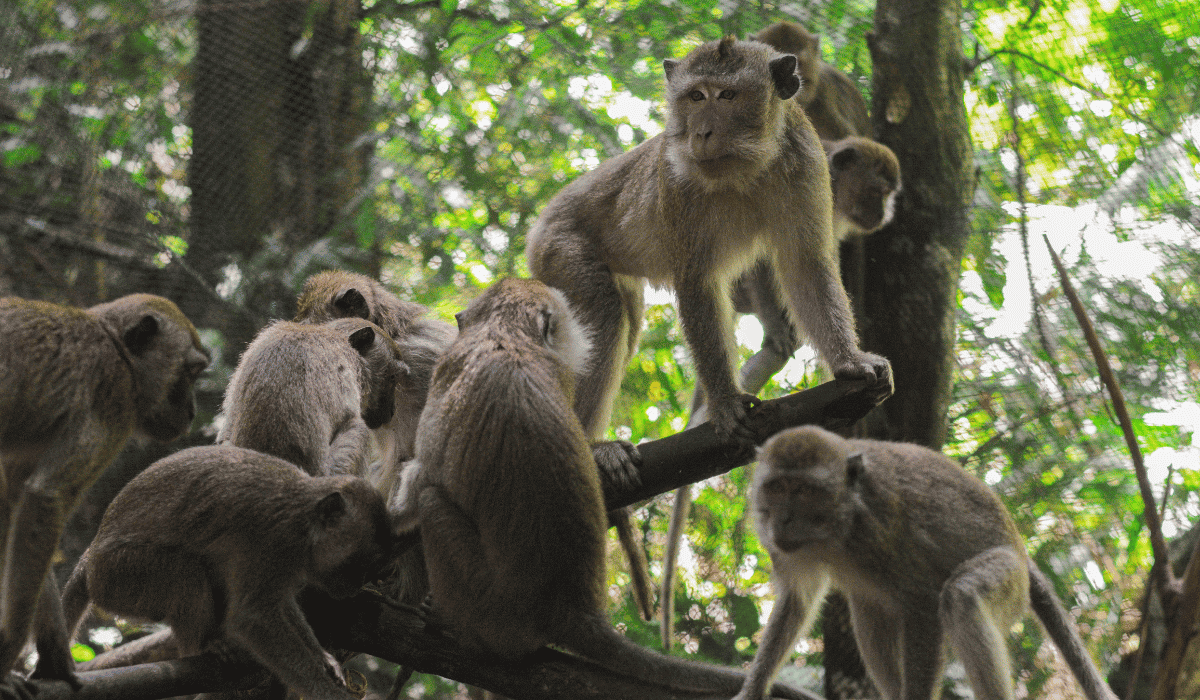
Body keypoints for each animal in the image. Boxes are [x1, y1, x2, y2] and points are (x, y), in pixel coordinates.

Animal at [0, 293, 209, 683]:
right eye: (190, 373)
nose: (191, 411)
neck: (115, 347)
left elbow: (21, 501)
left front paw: (54, 657)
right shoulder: (115, 399)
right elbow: (47, 496)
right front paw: (10, 652)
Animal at [60, 445, 396, 700]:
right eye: (357, 563)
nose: (354, 587)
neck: (305, 520)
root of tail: (90, 558)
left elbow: (280, 605)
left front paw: (322, 659)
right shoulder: (274, 540)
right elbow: (254, 617)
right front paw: (326, 692)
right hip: (119, 576)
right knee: (187, 572)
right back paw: (202, 646)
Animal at [389, 277, 816, 700]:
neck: (506, 334)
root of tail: (572, 611)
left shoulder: (445, 371)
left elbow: (418, 483)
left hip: (490, 608)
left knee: (431, 502)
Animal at [734, 425, 1118, 700]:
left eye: (804, 491)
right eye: (777, 487)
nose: (782, 520)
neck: (840, 521)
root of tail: (1021, 549)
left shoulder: (880, 527)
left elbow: (922, 603)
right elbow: (796, 600)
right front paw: (752, 690)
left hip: (1012, 582)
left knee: (962, 596)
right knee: (868, 609)